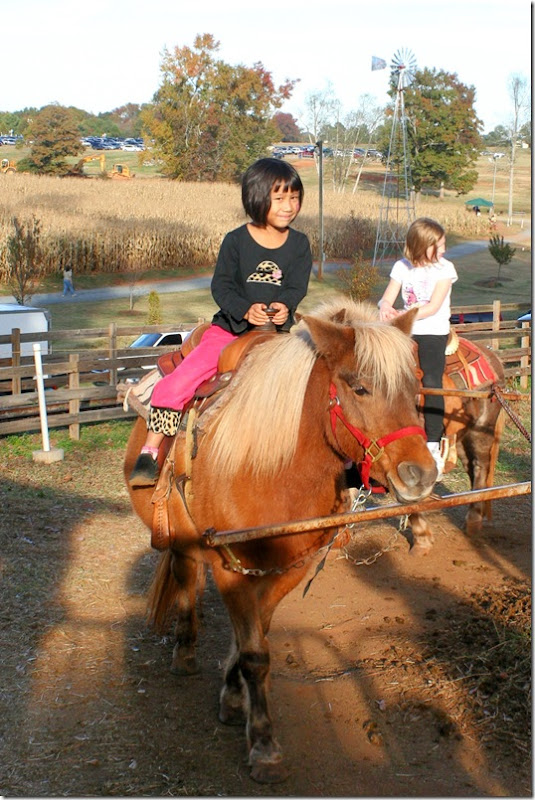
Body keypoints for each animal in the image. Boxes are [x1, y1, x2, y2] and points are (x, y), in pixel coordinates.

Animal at [124, 298, 437, 783]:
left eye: (417, 383)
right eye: (360, 388)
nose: (420, 475)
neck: (272, 467)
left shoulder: (288, 568)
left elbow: (255, 639)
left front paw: (234, 698)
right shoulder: (230, 569)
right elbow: (255, 653)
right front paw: (264, 744)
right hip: (180, 539)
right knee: (184, 577)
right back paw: (185, 650)